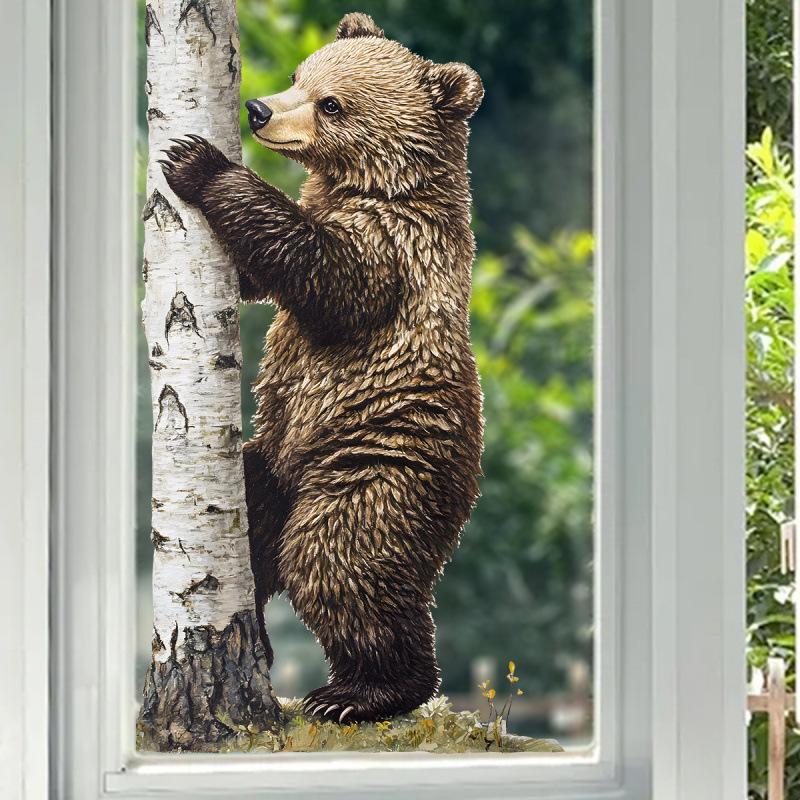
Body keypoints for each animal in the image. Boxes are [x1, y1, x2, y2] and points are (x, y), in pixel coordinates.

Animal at [159, 12, 484, 723]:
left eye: (332, 103)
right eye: (297, 74)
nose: (257, 110)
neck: (367, 183)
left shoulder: (396, 244)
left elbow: (326, 277)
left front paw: (196, 161)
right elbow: (258, 275)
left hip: (377, 464)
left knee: (337, 560)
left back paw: (363, 693)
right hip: (274, 454)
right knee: (252, 522)